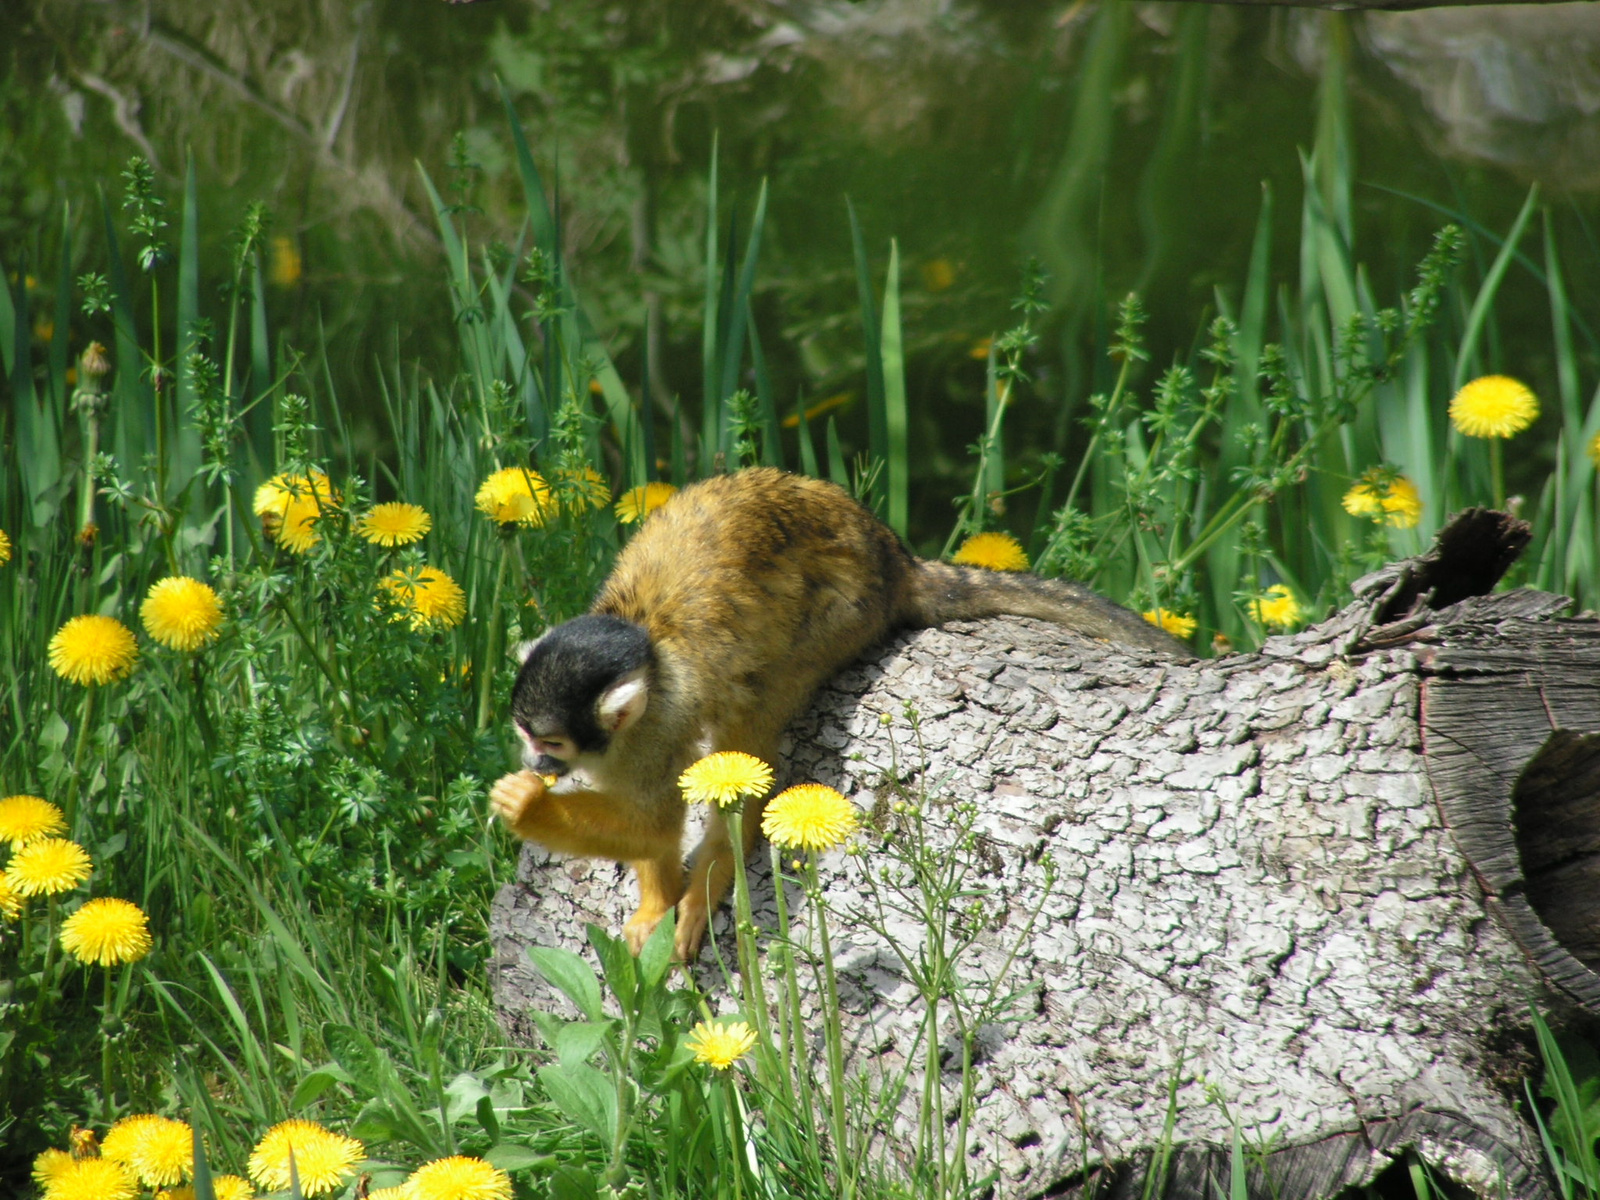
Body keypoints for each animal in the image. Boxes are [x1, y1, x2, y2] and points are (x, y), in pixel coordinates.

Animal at [486, 464, 1190, 966]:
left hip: (840, 614)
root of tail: (891, 551)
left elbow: (656, 818)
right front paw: (653, 903)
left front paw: (528, 807)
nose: (534, 760)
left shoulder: (656, 727)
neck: (645, 649)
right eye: (524, 732)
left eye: (552, 742)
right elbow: (648, 829)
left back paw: (722, 862)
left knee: (754, 711)